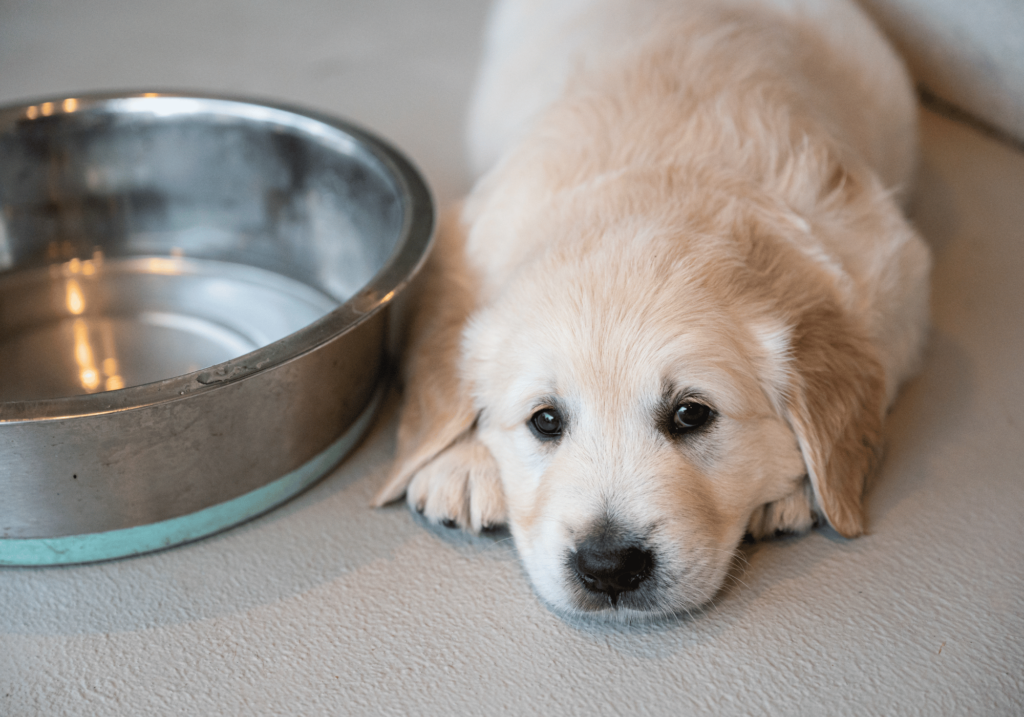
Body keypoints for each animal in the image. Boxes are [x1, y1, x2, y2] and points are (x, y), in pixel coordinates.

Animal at [374, 0, 929, 618]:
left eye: (691, 414)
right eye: (545, 420)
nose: (608, 566)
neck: (656, 192)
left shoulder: (894, 267)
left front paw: (802, 488)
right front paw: (465, 461)